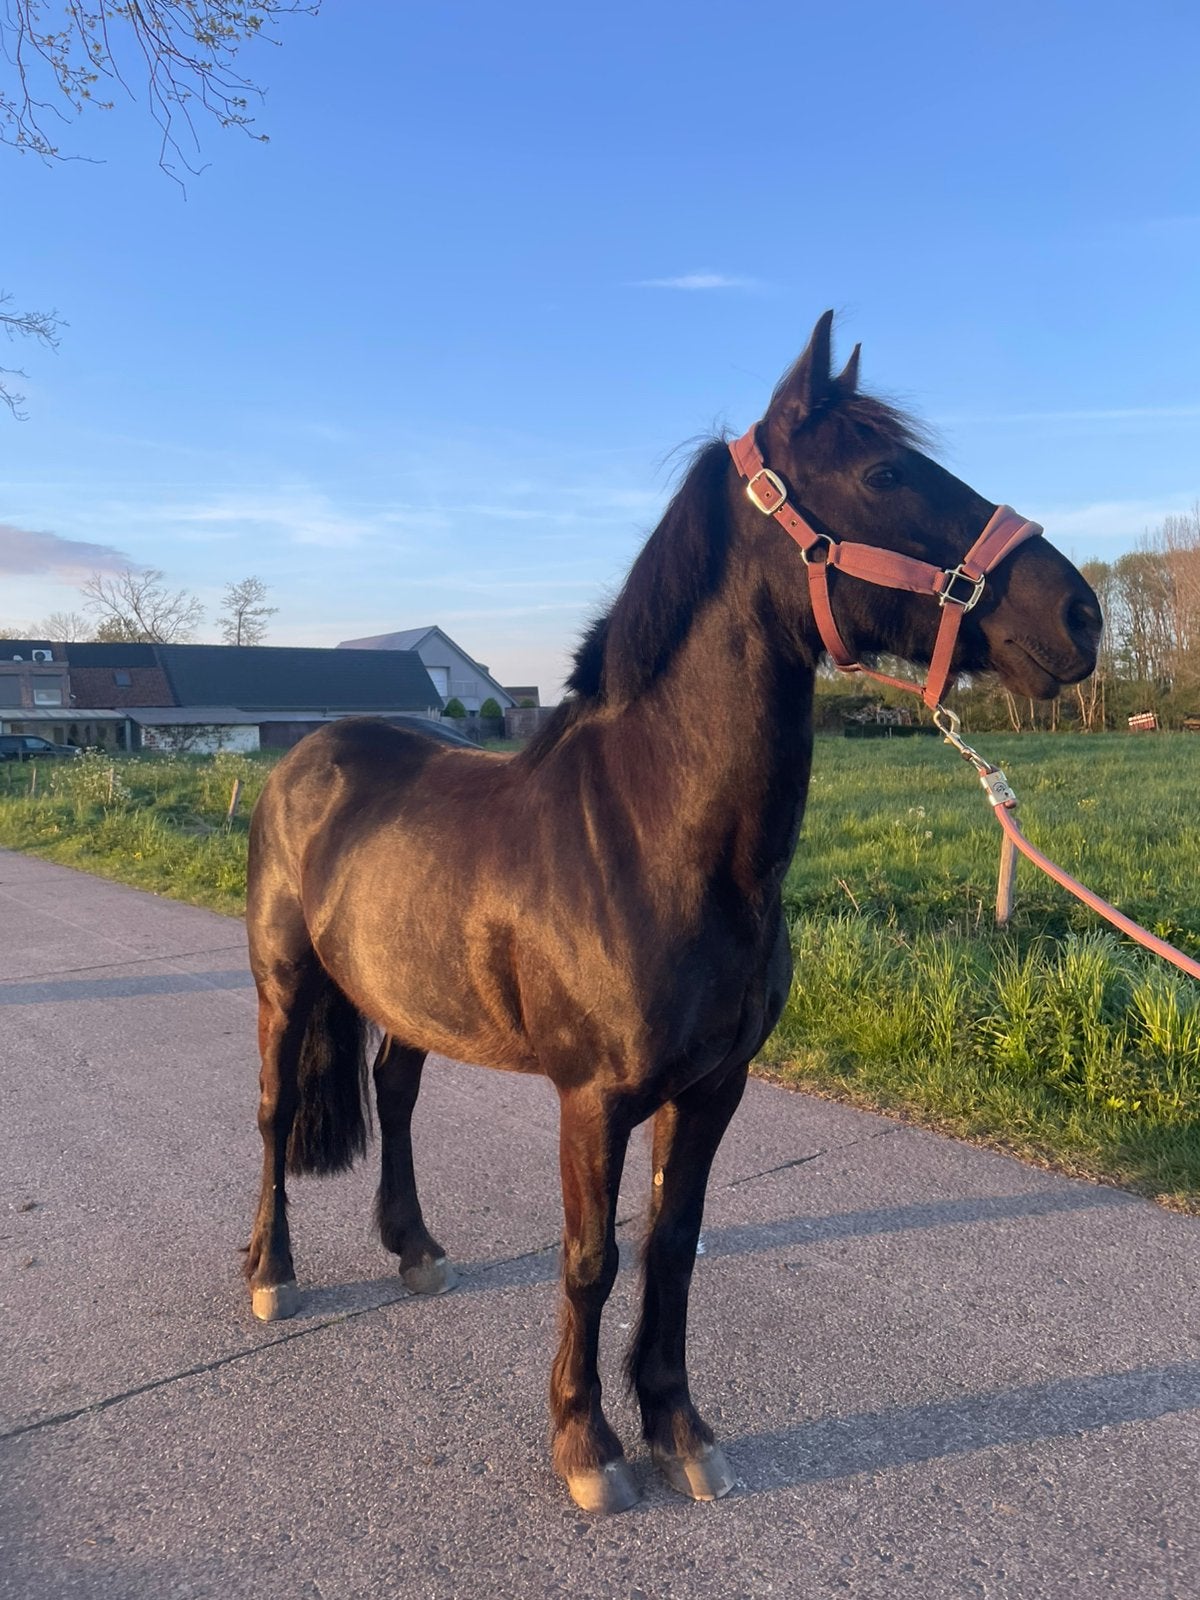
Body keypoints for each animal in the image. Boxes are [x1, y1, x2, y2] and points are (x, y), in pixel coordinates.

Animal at [244, 312, 1101, 1514]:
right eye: (885, 472)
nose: (1081, 612)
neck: (656, 839)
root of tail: (306, 756)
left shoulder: (713, 1087)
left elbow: (673, 1246)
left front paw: (678, 1429)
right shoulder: (595, 1098)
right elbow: (591, 1258)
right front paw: (586, 1444)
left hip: (409, 997)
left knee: (397, 1097)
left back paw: (414, 1249)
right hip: (283, 985)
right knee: (275, 1114)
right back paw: (269, 1273)